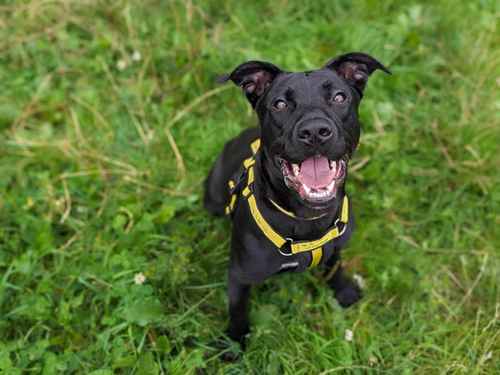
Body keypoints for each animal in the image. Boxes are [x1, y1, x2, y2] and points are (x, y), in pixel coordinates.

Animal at [203, 52, 390, 350]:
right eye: (279, 104)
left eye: (339, 97)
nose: (314, 131)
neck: (306, 218)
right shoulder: (239, 276)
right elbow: (238, 310)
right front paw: (234, 342)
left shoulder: (335, 248)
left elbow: (335, 268)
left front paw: (344, 291)